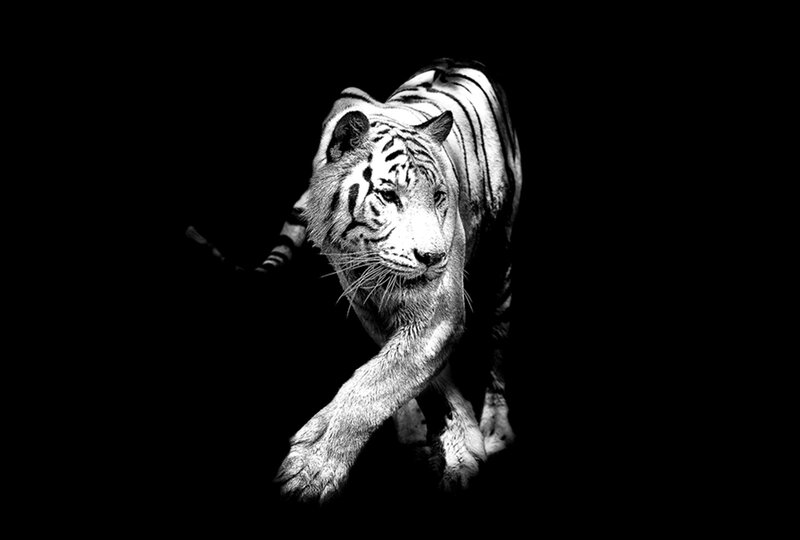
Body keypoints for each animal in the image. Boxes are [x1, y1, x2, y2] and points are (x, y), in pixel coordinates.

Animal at [192, 58, 522, 503]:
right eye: (388, 195)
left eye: (439, 197)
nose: (434, 258)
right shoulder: (367, 303)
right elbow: (405, 377)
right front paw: (457, 442)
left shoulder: (437, 310)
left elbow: (376, 383)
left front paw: (311, 469)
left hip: (500, 262)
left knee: (497, 349)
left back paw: (494, 428)